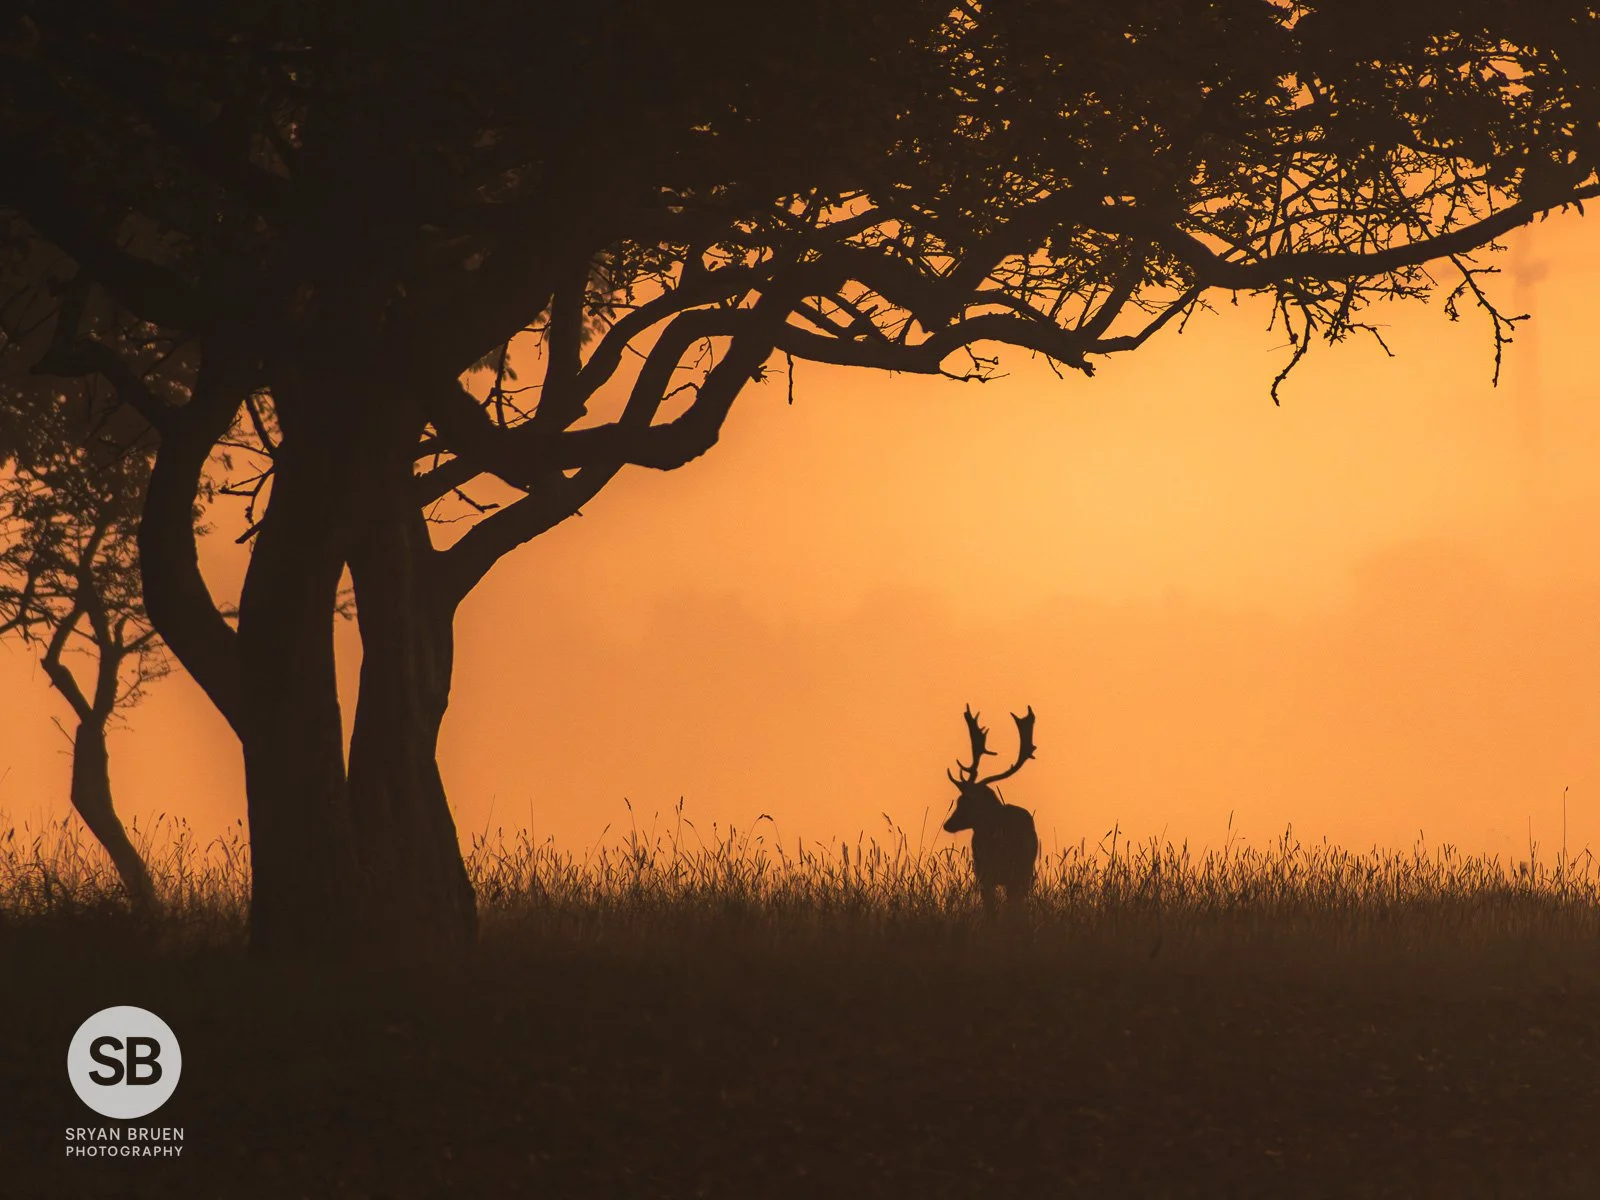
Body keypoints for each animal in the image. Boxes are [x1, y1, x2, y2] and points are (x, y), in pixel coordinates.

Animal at [942, 705, 1040, 908]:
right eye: (957, 800)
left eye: (964, 801)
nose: (947, 824)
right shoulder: (985, 875)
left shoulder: (1014, 875)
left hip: (1023, 871)